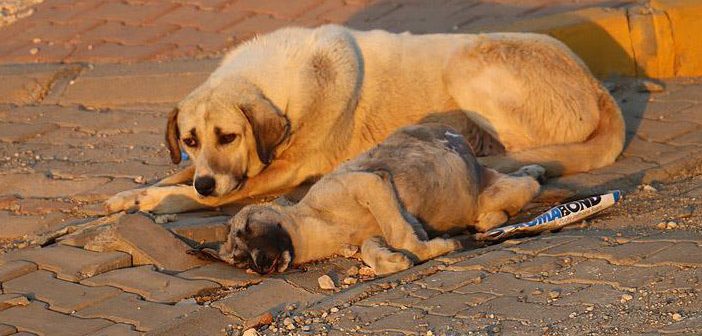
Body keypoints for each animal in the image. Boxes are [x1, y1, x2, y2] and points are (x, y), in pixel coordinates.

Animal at [106, 23, 628, 214]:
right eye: (190, 140)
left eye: (229, 136)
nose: (207, 183)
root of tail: (595, 83)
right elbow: (175, 175)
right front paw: (131, 194)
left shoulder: (278, 173)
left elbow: (194, 193)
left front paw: (156, 200)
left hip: (467, 61)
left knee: (518, 147)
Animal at [219, 123, 544, 276]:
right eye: (240, 260)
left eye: (247, 228)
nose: (260, 265)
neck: (317, 222)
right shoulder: (372, 233)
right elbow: (372, 249)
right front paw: (393, 260)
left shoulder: (370, 183)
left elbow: (401, 235)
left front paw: (433, 249)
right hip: (490, 190)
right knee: (518, 183)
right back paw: (529, 173)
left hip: (492, 191)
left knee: (528, 186)